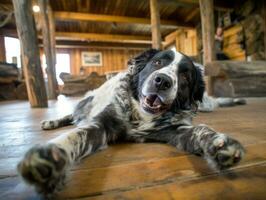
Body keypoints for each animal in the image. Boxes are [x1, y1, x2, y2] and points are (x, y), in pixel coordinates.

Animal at [16, 49, 245, 196]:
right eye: (157, 63)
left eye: (185, 75)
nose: (162, 81)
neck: (140, 116)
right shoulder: (101, 124)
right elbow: (76, 136)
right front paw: (51, 158)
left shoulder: (176, 129)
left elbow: (200, 129)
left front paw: (219, 145)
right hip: (84, 104)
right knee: (71, 117)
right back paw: (52, 122)